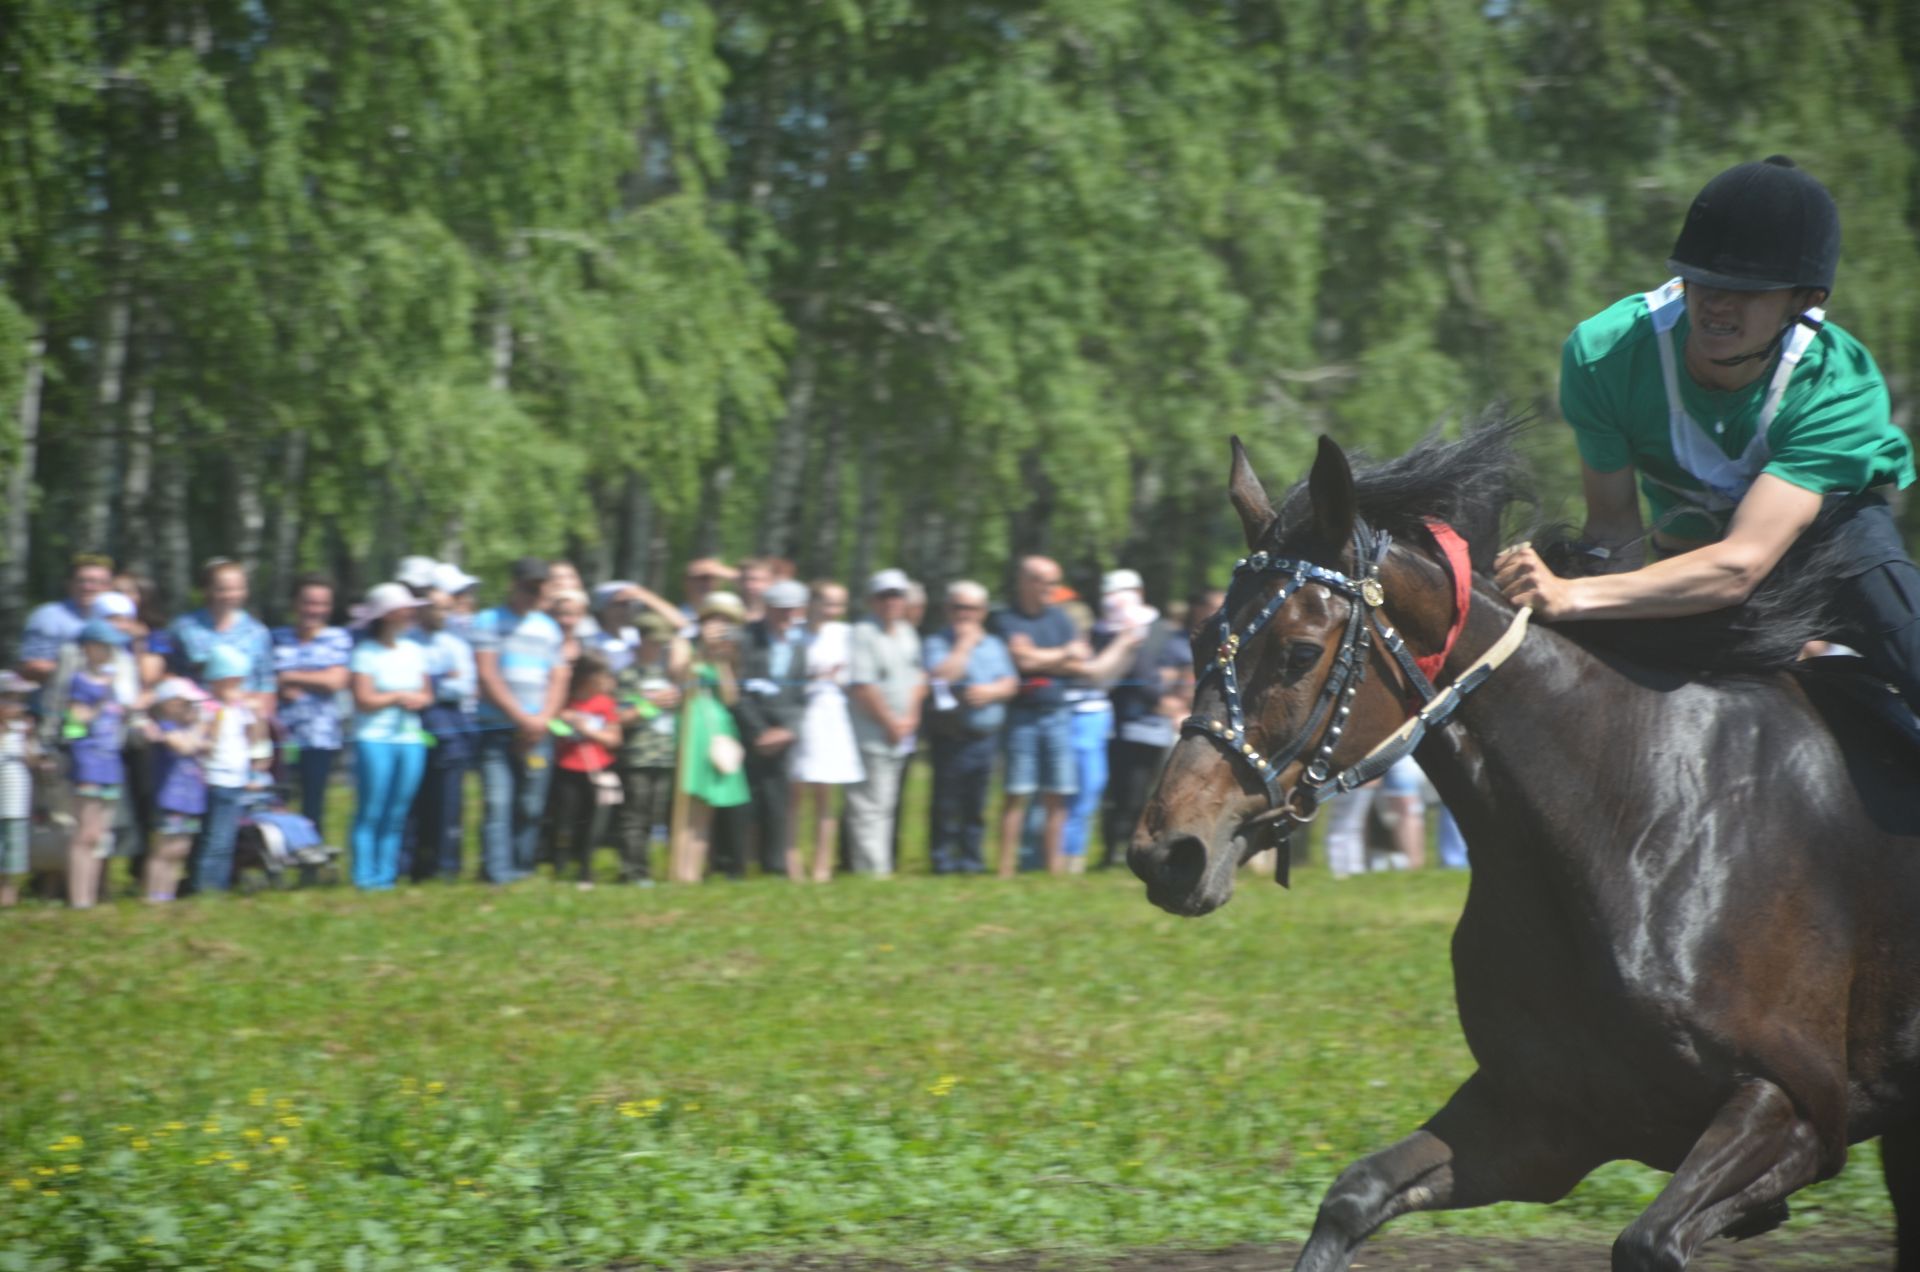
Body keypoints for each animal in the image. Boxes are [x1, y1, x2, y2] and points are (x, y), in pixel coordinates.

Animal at [1121, 428, 1920, 1272]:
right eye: (1200, 640)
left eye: (1300, 652)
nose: (1166, 850)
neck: (1635, 821)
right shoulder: (1544, 1116)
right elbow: (1353, 1195)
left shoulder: (1798, 1106)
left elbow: (1648, 1239)